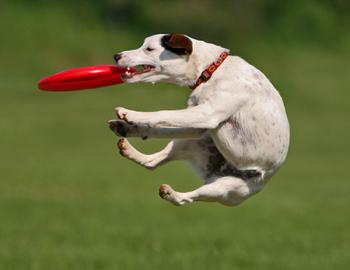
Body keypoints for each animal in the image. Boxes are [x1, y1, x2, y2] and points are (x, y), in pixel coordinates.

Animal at [109, 33, 290, 207]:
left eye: (149, 49)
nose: (116, 56)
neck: (211, 71)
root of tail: (215, 170)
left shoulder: (208, 114)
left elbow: (163, 113)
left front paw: (130, 114)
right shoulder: (198, 126)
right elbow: (158, 127)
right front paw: (131, 127)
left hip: (225, 188)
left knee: (185, 199)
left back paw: (172, 194)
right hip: (190, 142)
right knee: (152, 162)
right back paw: (128, 145)